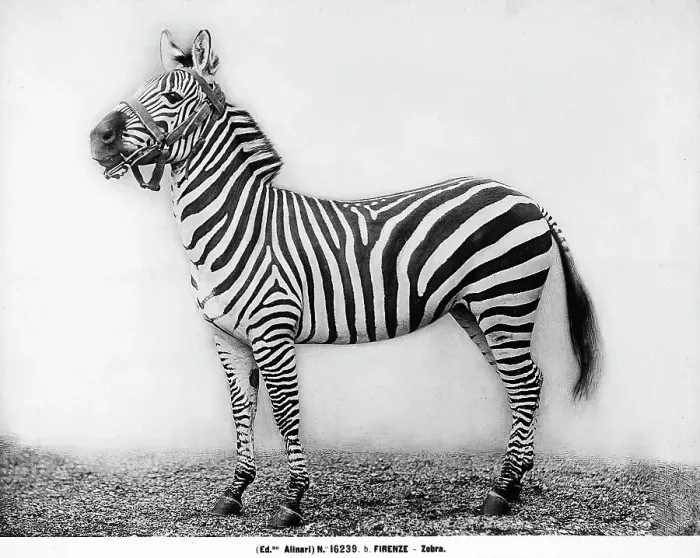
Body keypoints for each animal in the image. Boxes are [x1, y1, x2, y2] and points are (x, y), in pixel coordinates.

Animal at [89, 29, 601, 528]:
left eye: (172, 98)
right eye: (140, 88)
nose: (97, 137)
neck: (238, 224)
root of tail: (525, 198)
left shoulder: (273, 332)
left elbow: (285, 411)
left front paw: (292, 499)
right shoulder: (227, 338)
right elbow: (241, 411)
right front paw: (234, 492)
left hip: (504, 299)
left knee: (524, 383)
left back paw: (502, 491)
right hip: (474, 309)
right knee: (524, 382)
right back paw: (515, 482)